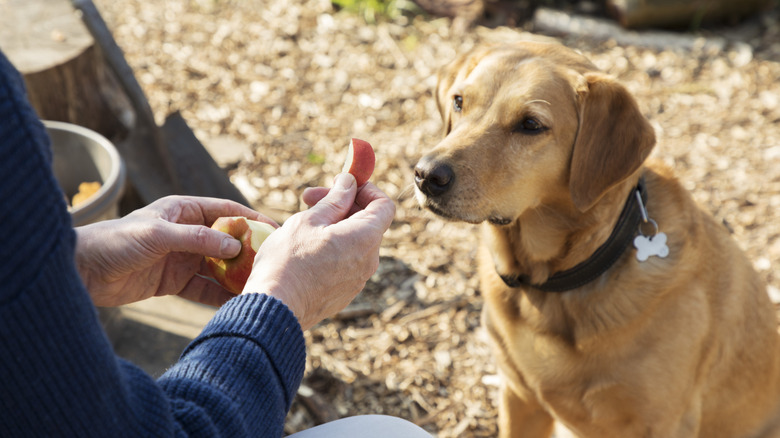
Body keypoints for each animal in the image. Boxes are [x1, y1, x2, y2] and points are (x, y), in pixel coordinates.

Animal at [414, 40, 780, 434]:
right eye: (458, 101)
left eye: (531, 125)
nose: (426, 175)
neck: (553, 286)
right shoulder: (519, 396)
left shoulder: (662, 423)